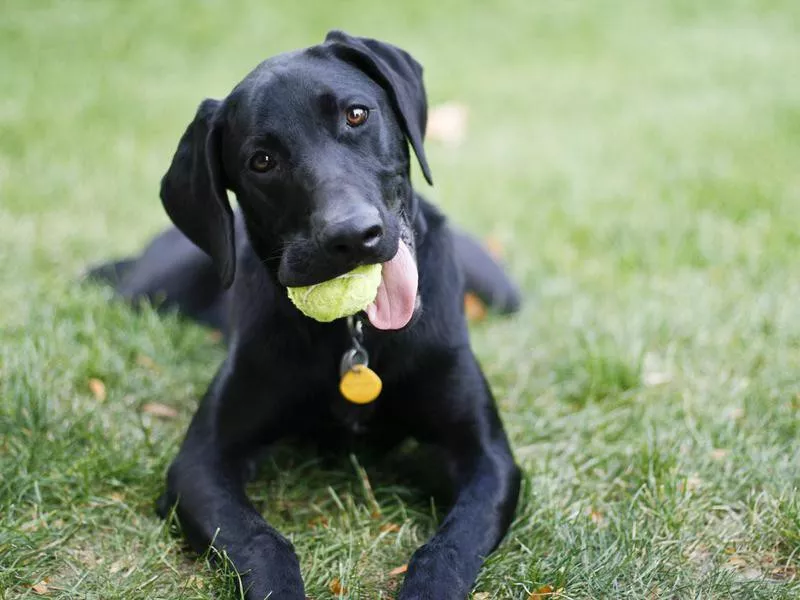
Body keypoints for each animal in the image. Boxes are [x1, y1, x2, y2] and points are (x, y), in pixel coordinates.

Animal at [90, 32, 520, 600]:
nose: (353, 237)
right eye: (261, 161)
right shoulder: (200, 464)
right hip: (150, 289)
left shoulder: (486, 456)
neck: (357, 334)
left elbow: (449, 545)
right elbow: (262, 541)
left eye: (357, 115)